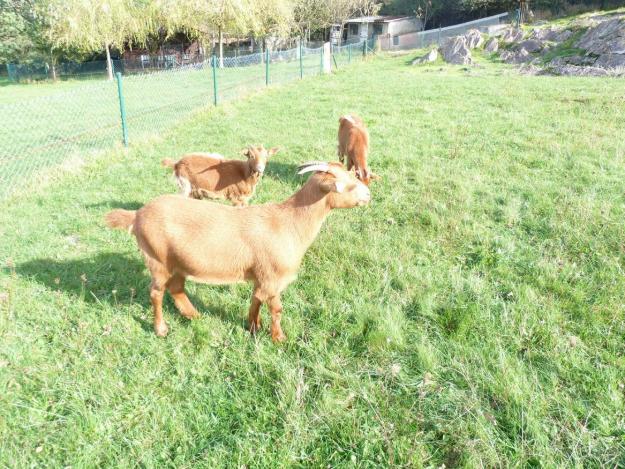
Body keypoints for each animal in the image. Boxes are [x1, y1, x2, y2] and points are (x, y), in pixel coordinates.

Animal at [106, 161, 370, 340]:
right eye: (346, 185)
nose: (368, 194)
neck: (288, 222)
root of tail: (137, 215)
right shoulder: (273, 278)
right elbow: (276, 308)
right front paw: (279, 338)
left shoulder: (261, 277)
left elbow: (256, 301)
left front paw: (253, 327)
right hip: (157, 259)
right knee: (156, 293)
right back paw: (161, 329)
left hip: (178, 261)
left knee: (176, 288)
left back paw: (195, 316)